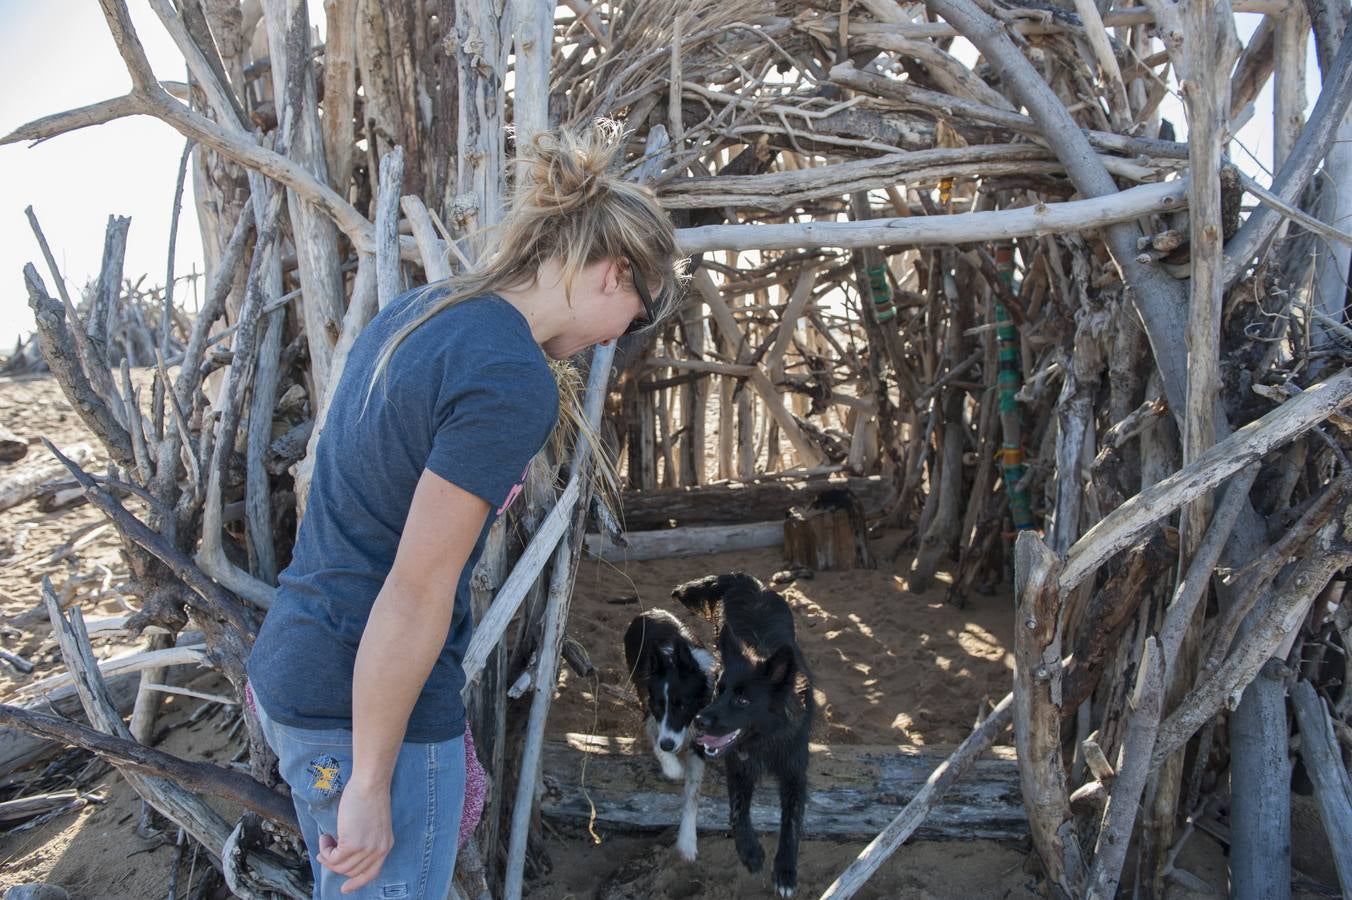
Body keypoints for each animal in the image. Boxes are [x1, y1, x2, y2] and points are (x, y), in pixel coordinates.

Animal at [621, 605, 719, 859]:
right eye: (658, 706)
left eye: (682, 706)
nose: (669, 744)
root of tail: (649, 611)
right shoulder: (649, 711)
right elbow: (662, 750)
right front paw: (674, 767)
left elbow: (693, 792)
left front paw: (687, 841)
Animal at [673, 570, 811, 891]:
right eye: (719, 691)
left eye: (743, 700)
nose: (698, 720)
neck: (766, 738)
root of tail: (747, 581)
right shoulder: (737, 766)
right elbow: (738, 810)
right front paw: (750, 852)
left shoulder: (795, 772)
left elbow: (792, 821)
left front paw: (785, 870)